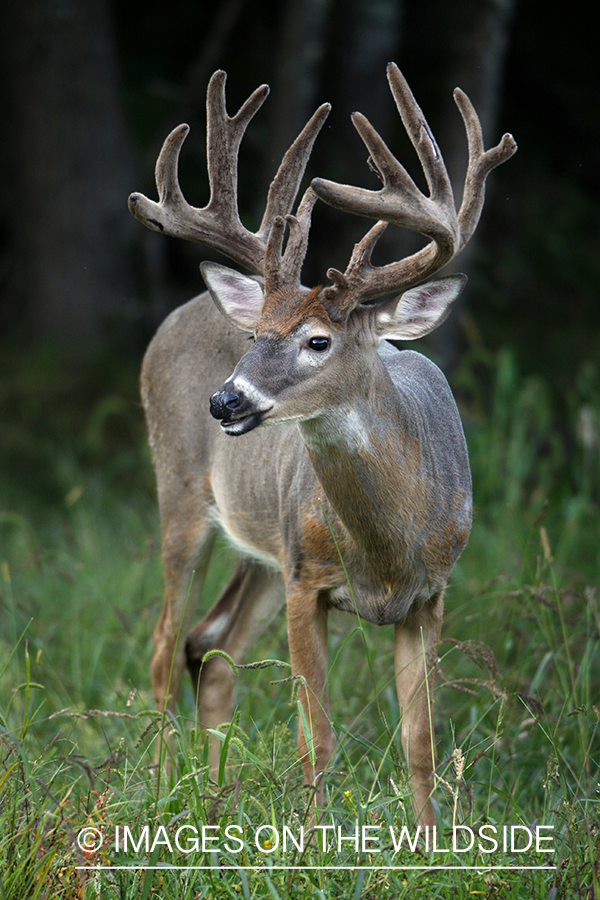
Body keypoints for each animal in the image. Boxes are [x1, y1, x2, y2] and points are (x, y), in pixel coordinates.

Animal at [129, 61, 512, 824]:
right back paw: (159, 794)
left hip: (266, 547)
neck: (387, 550)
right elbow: (319, 739)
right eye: (255, 335)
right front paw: (312, 838)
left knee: (208, 645)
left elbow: (420, 742)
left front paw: (430, 842)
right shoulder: (307, 583)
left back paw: (215, 801)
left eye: (317, 341)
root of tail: (177, 316)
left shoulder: (432, 594)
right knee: (162, 645)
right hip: (182, 491)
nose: (226, 400)